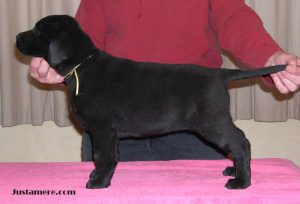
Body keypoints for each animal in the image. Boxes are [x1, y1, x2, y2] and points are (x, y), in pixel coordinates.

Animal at [16, 14, 286, 190]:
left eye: (38, 30)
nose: (17, 36)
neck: (82, 66)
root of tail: (221, 75)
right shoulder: (109, 133)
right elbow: (110, 157)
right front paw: (100, 176)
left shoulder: (102, 129)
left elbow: (102, 156)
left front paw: (99, 182)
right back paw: (234, 170)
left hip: (212, 122)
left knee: (241, 142)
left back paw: (241, 181)